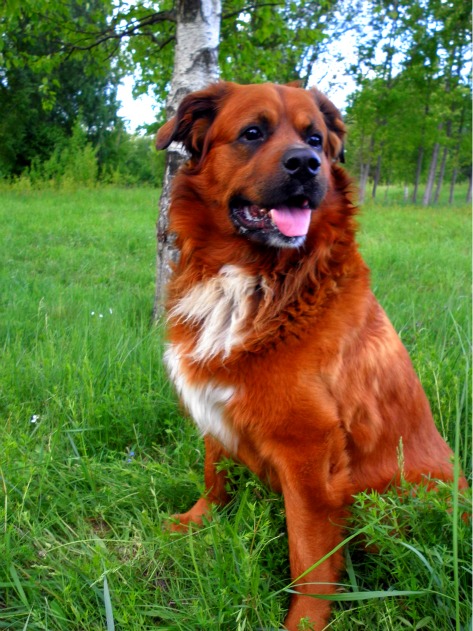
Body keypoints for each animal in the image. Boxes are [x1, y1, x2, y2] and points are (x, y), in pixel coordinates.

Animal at [155, 81, 466, 631]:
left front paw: (306, 620)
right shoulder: (216, 396)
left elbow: (310, 556)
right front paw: (198, 521)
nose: (306, 164)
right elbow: (215, 472)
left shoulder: (309, 449)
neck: (255, 278)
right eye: (252, 133)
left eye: (316, 138)